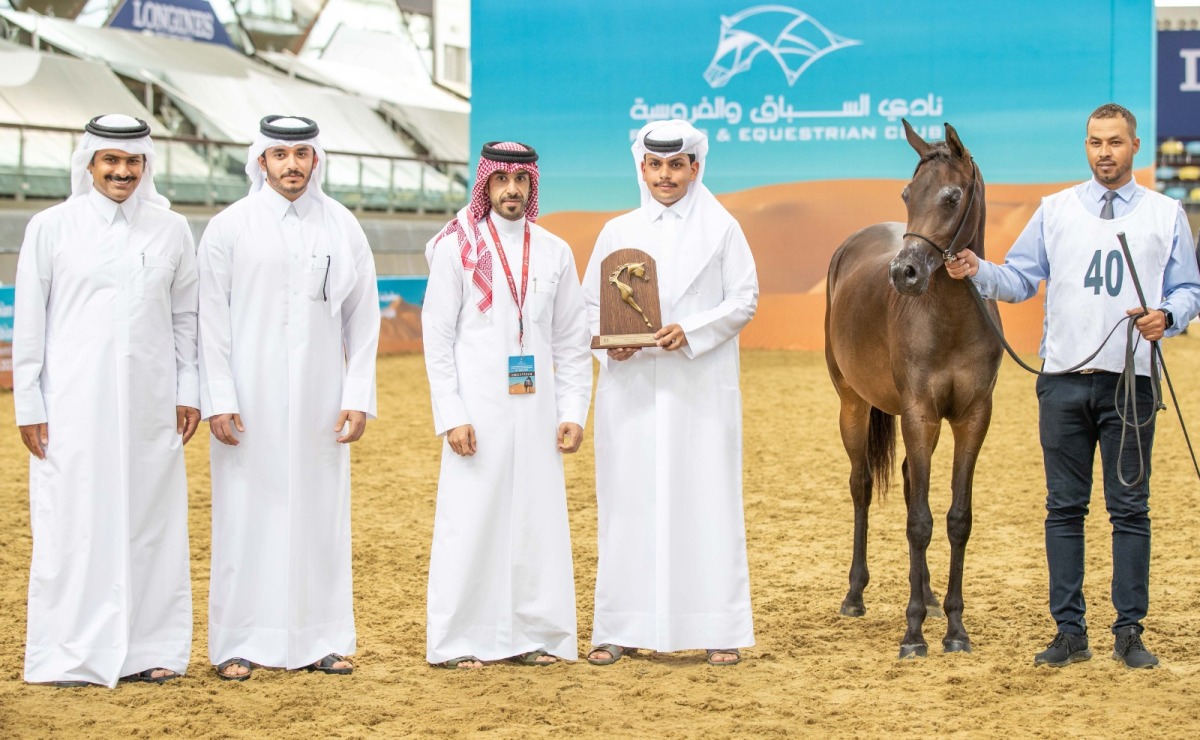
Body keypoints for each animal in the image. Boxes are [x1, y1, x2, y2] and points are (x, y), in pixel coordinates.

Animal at [824, 119, 1002, 659]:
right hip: (853, 405)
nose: (903, 273)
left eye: (951, 196)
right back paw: (855, 595)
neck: (951, 318)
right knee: (862, 486)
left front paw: (955, 628)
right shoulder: (920, 414)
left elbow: (956, 519)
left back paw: (924, 593)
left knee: (907, 484)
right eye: (907, 193)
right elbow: (920, 522)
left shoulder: (972, 418)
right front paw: (913, 633)